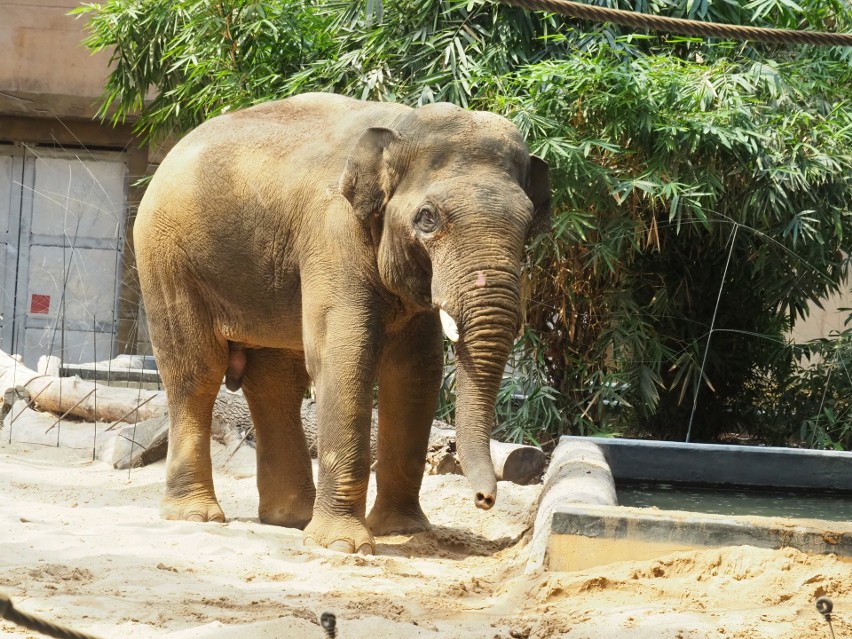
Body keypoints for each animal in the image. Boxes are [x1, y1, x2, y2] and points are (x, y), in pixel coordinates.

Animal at [131, 91, 548, 556]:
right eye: (427, 218)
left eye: (529, 223)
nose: (484, 500)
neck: (402, 126)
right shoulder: (333, 232)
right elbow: (346, 355)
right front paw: (345, 545)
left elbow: (417, 371)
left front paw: (404, 530)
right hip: (165, 257)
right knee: (196, 371)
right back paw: (197, 515)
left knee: (275, 380)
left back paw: (291, 518)